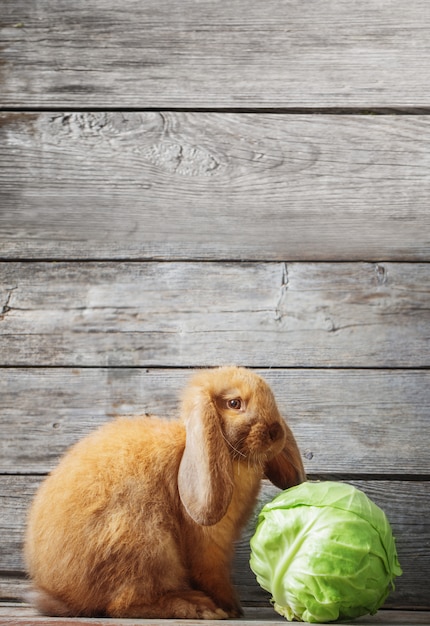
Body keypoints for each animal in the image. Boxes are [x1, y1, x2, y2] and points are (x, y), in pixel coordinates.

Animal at [24, 364, 306, 616]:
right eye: (235, 403)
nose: (276, 431)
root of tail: (61, 593)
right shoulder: (208, 545)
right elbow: (213, 576)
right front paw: (230, 608)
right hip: (145, 544)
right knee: (122, 604)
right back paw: (196, 607)